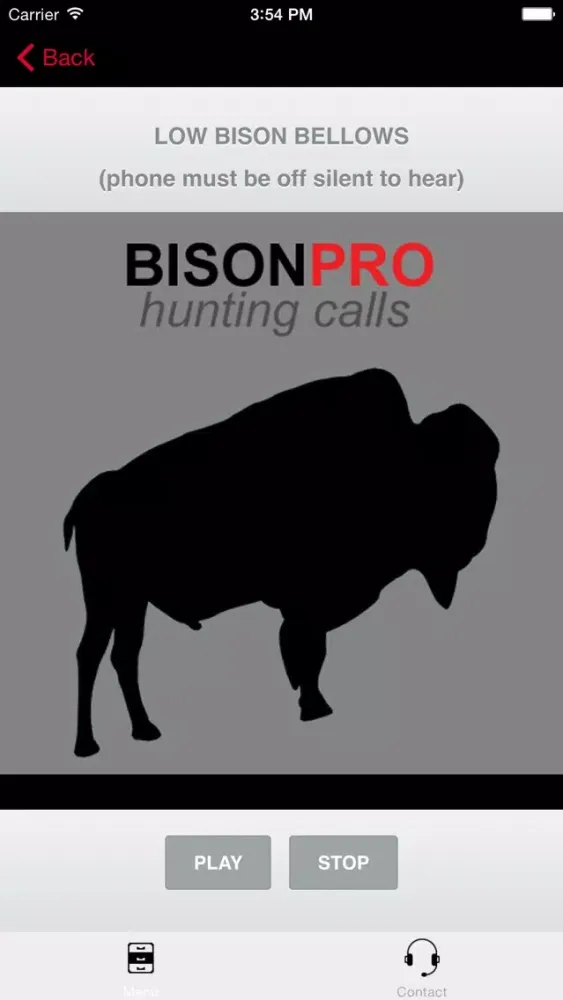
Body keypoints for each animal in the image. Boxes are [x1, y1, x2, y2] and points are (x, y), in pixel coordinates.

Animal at [64, 368, 500, 757]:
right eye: (459, 471)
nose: (475, 543)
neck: (401, 454)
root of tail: (85, 498)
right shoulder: (307, 604)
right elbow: (306, 651)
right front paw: (315, 708)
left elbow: (310, 652)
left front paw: (315, 705)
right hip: (106, 598)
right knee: (91, 654)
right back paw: (87, 746)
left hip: (131, 603)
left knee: (124, 656)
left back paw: (145, 730)